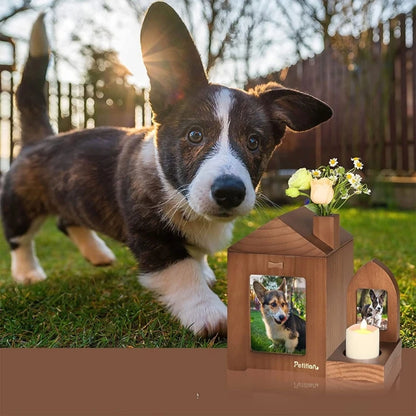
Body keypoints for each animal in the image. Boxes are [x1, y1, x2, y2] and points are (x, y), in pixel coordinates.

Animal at [0, 1, 332, 336]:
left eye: (253, 141)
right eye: (195, 135)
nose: (229, 193)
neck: (176, 192)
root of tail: (40, 139)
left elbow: (196, 255)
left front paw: (204, 271)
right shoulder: (150, 234)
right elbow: (182, 269)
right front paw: (210, 312)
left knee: (66, 220)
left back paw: (98, 254)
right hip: (21, 205)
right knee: (20, 239)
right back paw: (28, 273)